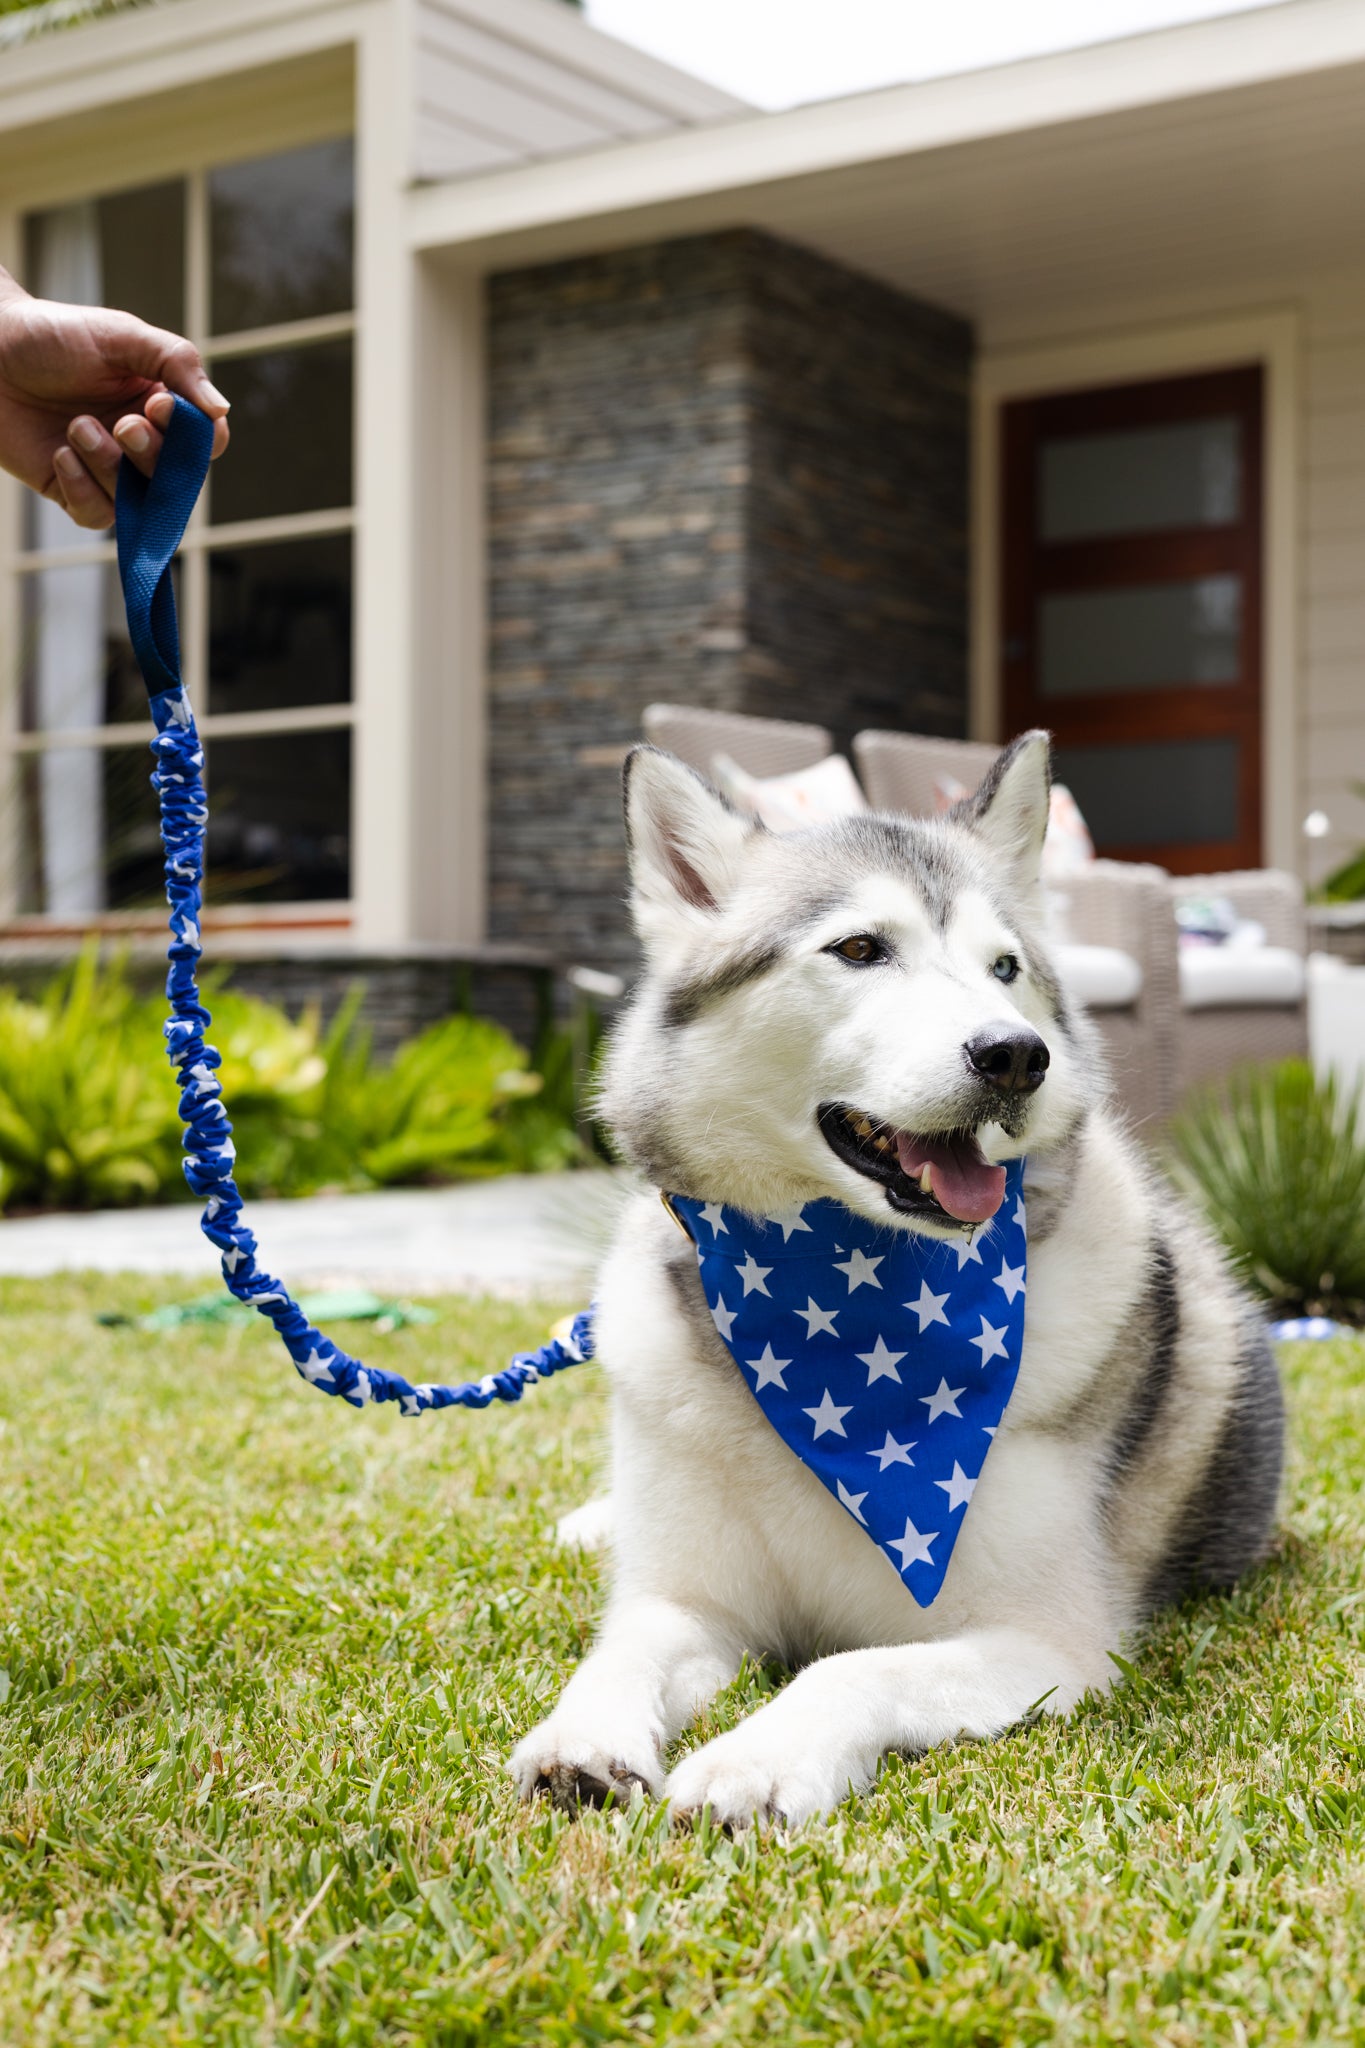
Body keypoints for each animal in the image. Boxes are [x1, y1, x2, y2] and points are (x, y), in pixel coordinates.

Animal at [507, 733, 1285, 1826]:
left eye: (1004, 967)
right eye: (860, 950)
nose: (1016, 1054)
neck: (835, 1316)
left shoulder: (1047, 1644)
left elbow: (848, 1666)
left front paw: (757, 1760)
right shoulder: (688, 1600)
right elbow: (620, 1650)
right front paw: (581, 1737)